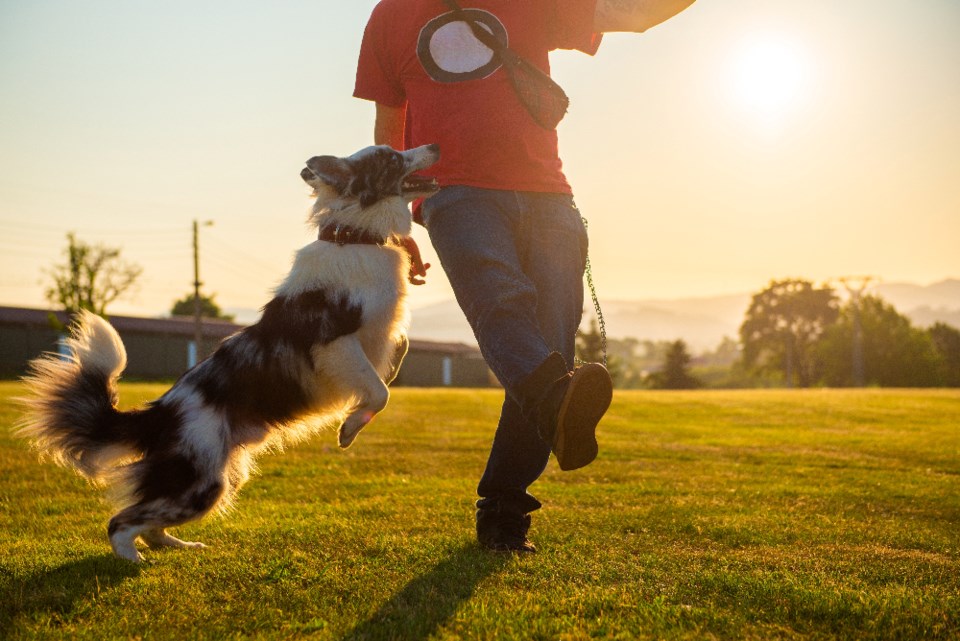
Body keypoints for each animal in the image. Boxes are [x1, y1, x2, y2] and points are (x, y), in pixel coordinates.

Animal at [15, 144, 442, 560]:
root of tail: (159, 414)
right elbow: (379, 392)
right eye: (390, 158)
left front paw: (373, 394)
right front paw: (350, 427)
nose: (435, 145)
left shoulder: (381, 331)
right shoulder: (334, 341)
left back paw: (178, 547)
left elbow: (397, 353)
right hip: (199, 482)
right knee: (121, 522)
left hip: (216, 478)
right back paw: (132, 561)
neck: (356, 234)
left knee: (150, 525)